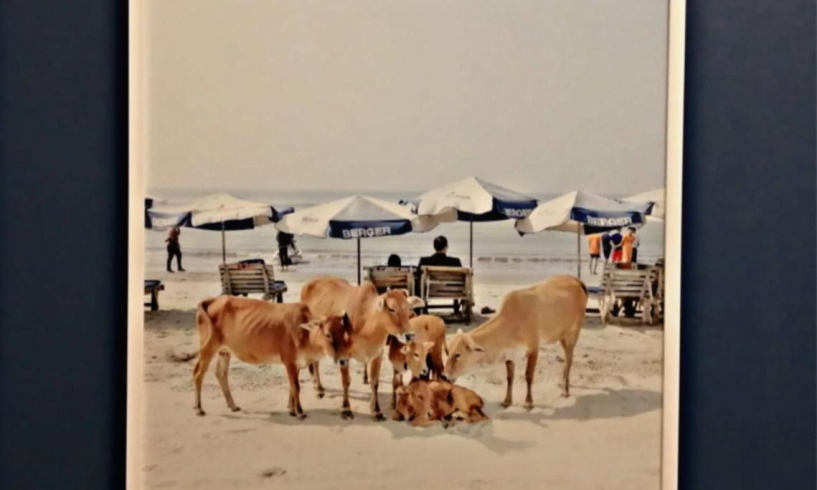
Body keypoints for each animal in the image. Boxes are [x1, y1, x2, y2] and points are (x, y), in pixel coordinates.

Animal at [196, 296, 356, 420]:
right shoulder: (289, 361)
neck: (304, 333)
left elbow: (292, 386)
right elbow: (296, 386)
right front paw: (299, 412)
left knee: (221, 374)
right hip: (208, 348)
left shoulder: (296, 364)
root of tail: (213, 299)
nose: (343, 359)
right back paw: (198, 408)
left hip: (224, 351)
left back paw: (233, 405)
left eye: (343, 332)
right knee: (198, 373)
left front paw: (291, 409)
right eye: (328, 334)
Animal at [302, 276, 428, 422]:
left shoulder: (377, 354)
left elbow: (374, 383)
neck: (367, 324)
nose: (410, 335)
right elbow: (346, 381)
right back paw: (318, 388)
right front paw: (346, 409)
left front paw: (376, 411)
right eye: (391, 309)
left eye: (408, 308)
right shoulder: (344, 355)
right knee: (315, 363)